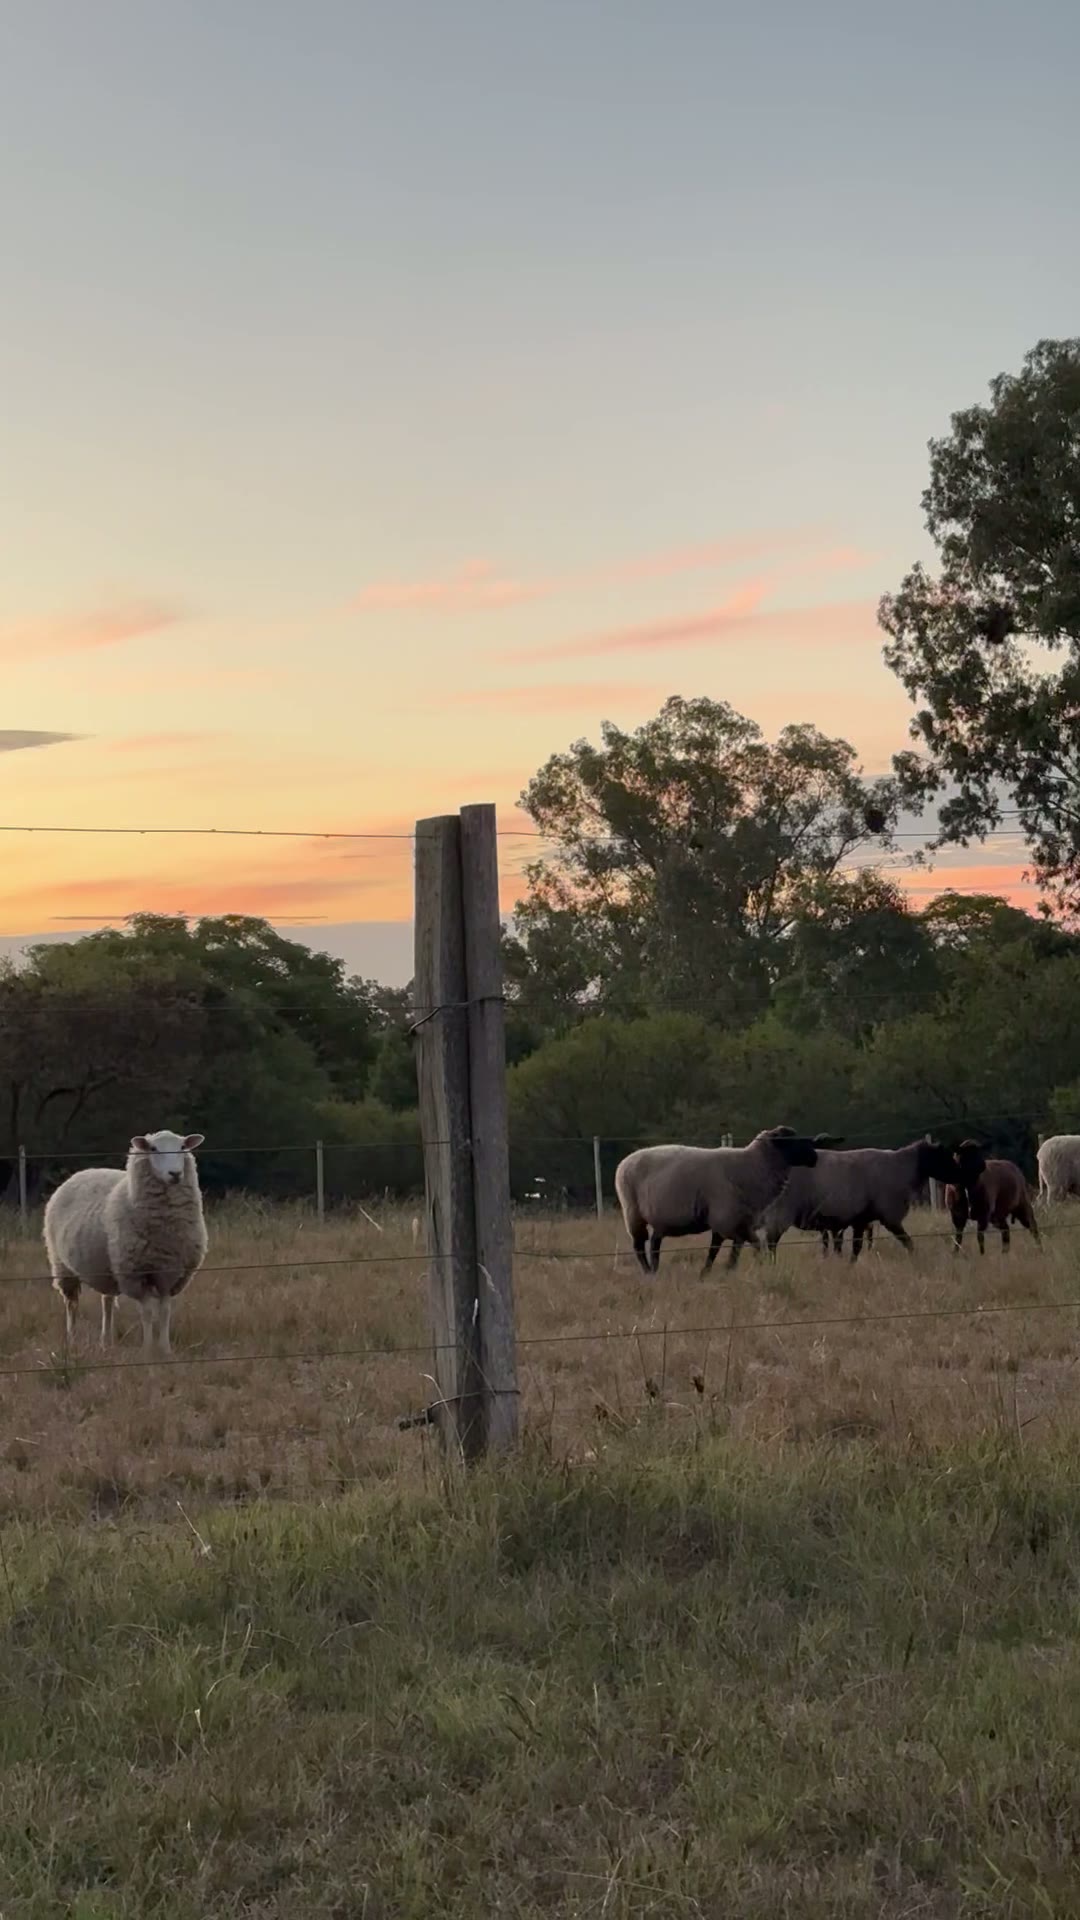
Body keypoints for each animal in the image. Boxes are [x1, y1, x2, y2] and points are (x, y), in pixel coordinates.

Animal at [44, 1129, 207, 1355]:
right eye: (153, 1148)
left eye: (182, 1147)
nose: (175, 1174)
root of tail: (80, 1173)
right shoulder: (136, 1274)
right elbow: (147, 1312)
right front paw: (148, 1349)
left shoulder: (169, 1273)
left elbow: (165, 1311)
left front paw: (165, 1349)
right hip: (62, 1265)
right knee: (72, 1304)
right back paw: (72, 1341)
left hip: (107, 1268)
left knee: (107, 1301)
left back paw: (106, 1341)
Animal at [614, 1125, 819, 1277]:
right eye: (789, 1141)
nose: (815, 1157)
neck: (750, 1166)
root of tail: (624, 1162)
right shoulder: (726, 1220)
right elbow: (744, 1245)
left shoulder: (737, 1221)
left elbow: (729, 1248)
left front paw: (717, 1271)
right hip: (632, 1212)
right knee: (639, 1245)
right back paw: (648, 1272)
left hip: (659, 1219)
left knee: (654, 1242)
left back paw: (655, 1270)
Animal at [761, 1137, 959, 1263]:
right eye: (944, 1157)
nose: (960, 1176)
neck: (902, 1168)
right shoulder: (888, 1217)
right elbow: (907, 1242)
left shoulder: (861, 1220)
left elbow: (857, 1247)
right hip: (781, 1212)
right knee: (771, 1242)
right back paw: (771, 1264)